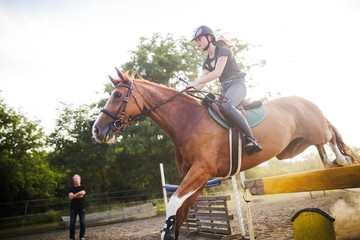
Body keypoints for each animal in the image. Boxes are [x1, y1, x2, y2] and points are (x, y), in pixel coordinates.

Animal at [92, 69, 358, 240]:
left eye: (118, 95)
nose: (96, 130)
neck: (187, 121)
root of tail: (306, 101)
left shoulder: (201, 171)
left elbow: (174, 205)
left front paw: (166, 231)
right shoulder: (198, 178)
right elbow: (182, 210)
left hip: (314, 130)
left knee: (329, 134)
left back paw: (343, 160)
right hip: (292, 149)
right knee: (322, 150)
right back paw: (334, 162)